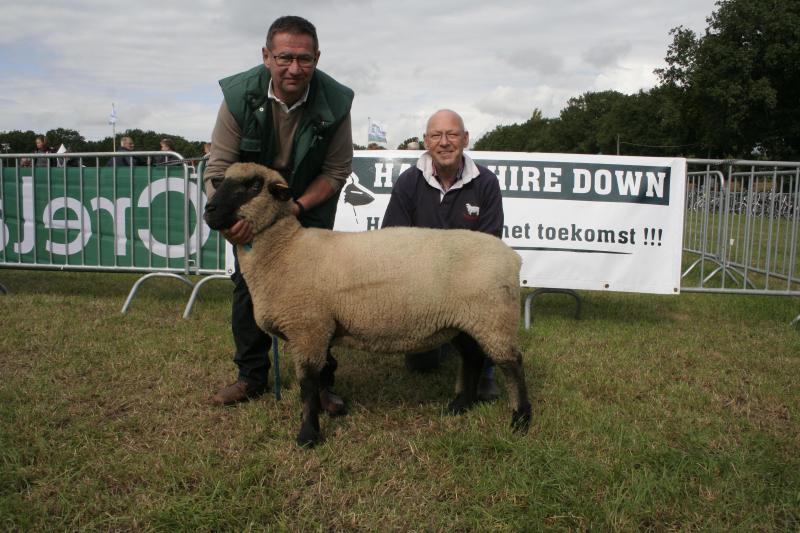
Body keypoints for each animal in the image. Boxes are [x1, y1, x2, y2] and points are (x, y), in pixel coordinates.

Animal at [206, 162, 532, 444]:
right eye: (221, 182)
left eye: (254, 186)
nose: (209, 210)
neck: (285, 249)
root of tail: (512, 256)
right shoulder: (317, 330)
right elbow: (316, 380)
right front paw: (323, 414)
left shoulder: (308, 328)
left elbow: (308, 384)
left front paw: (308, 434)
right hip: (464, 320)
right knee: (473, 358)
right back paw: (461, 405)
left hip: (494, 318)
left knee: (513, 364)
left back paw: (521, 419)